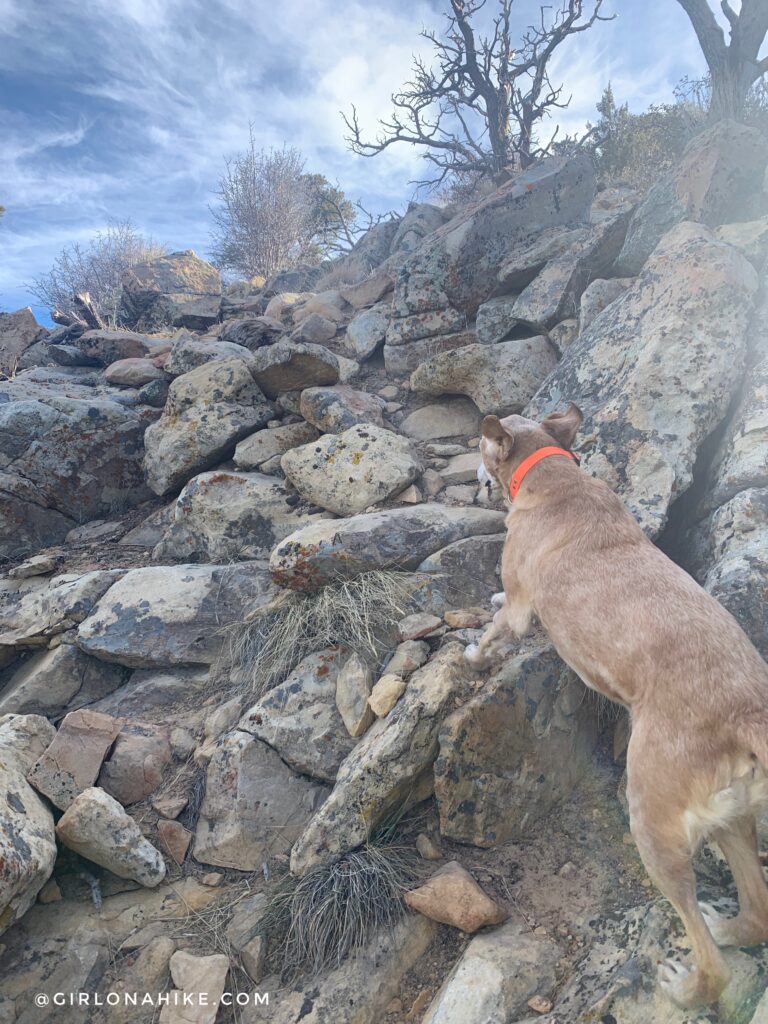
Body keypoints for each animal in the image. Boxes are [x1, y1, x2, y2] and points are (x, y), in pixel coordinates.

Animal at [466, 401, 768, 1007]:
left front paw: (471, 655)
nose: (469, 464)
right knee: (759, 913)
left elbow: (493, 634)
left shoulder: (520, 610)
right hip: (733, 819)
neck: (554, 476)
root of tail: (746, 714)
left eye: (484, 444)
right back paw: (729, 927)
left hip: (653, 821)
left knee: (714, 964)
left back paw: (685, 988)